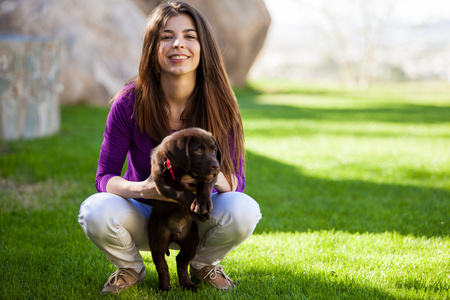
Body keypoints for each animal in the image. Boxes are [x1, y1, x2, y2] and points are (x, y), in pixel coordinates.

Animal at [149, 127, 221, 290]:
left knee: (181, 261)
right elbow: (181, 192)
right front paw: (196, 207)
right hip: (157, 240)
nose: (216, 166)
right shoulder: (161, 182)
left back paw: (188, 285)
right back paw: (165, 288)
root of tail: (175, 235)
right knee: (161, 264)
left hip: (192, 241)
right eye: (199, 150)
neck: (181, 170)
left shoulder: (211, 177)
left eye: (214, 150)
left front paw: (202, 205)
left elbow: (205, 185)